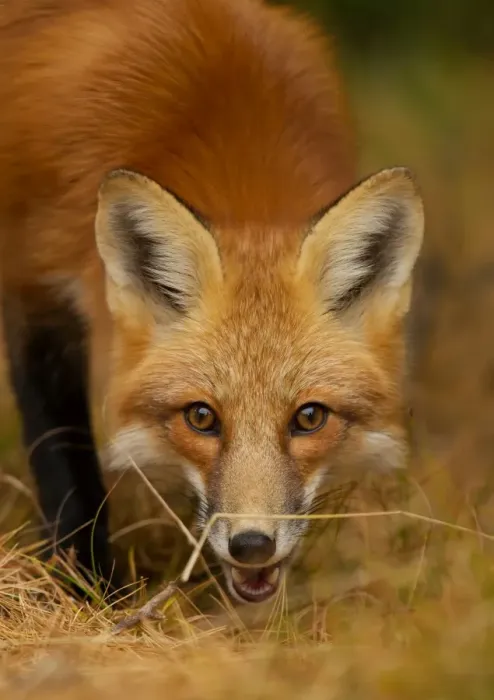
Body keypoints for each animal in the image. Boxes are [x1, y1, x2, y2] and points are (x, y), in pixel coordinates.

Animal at [0, 0, 423, 604]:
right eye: (201, 417)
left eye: (309, 417)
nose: (252, 545)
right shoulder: (32, 290)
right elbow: (64, 462)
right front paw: (85, 588)